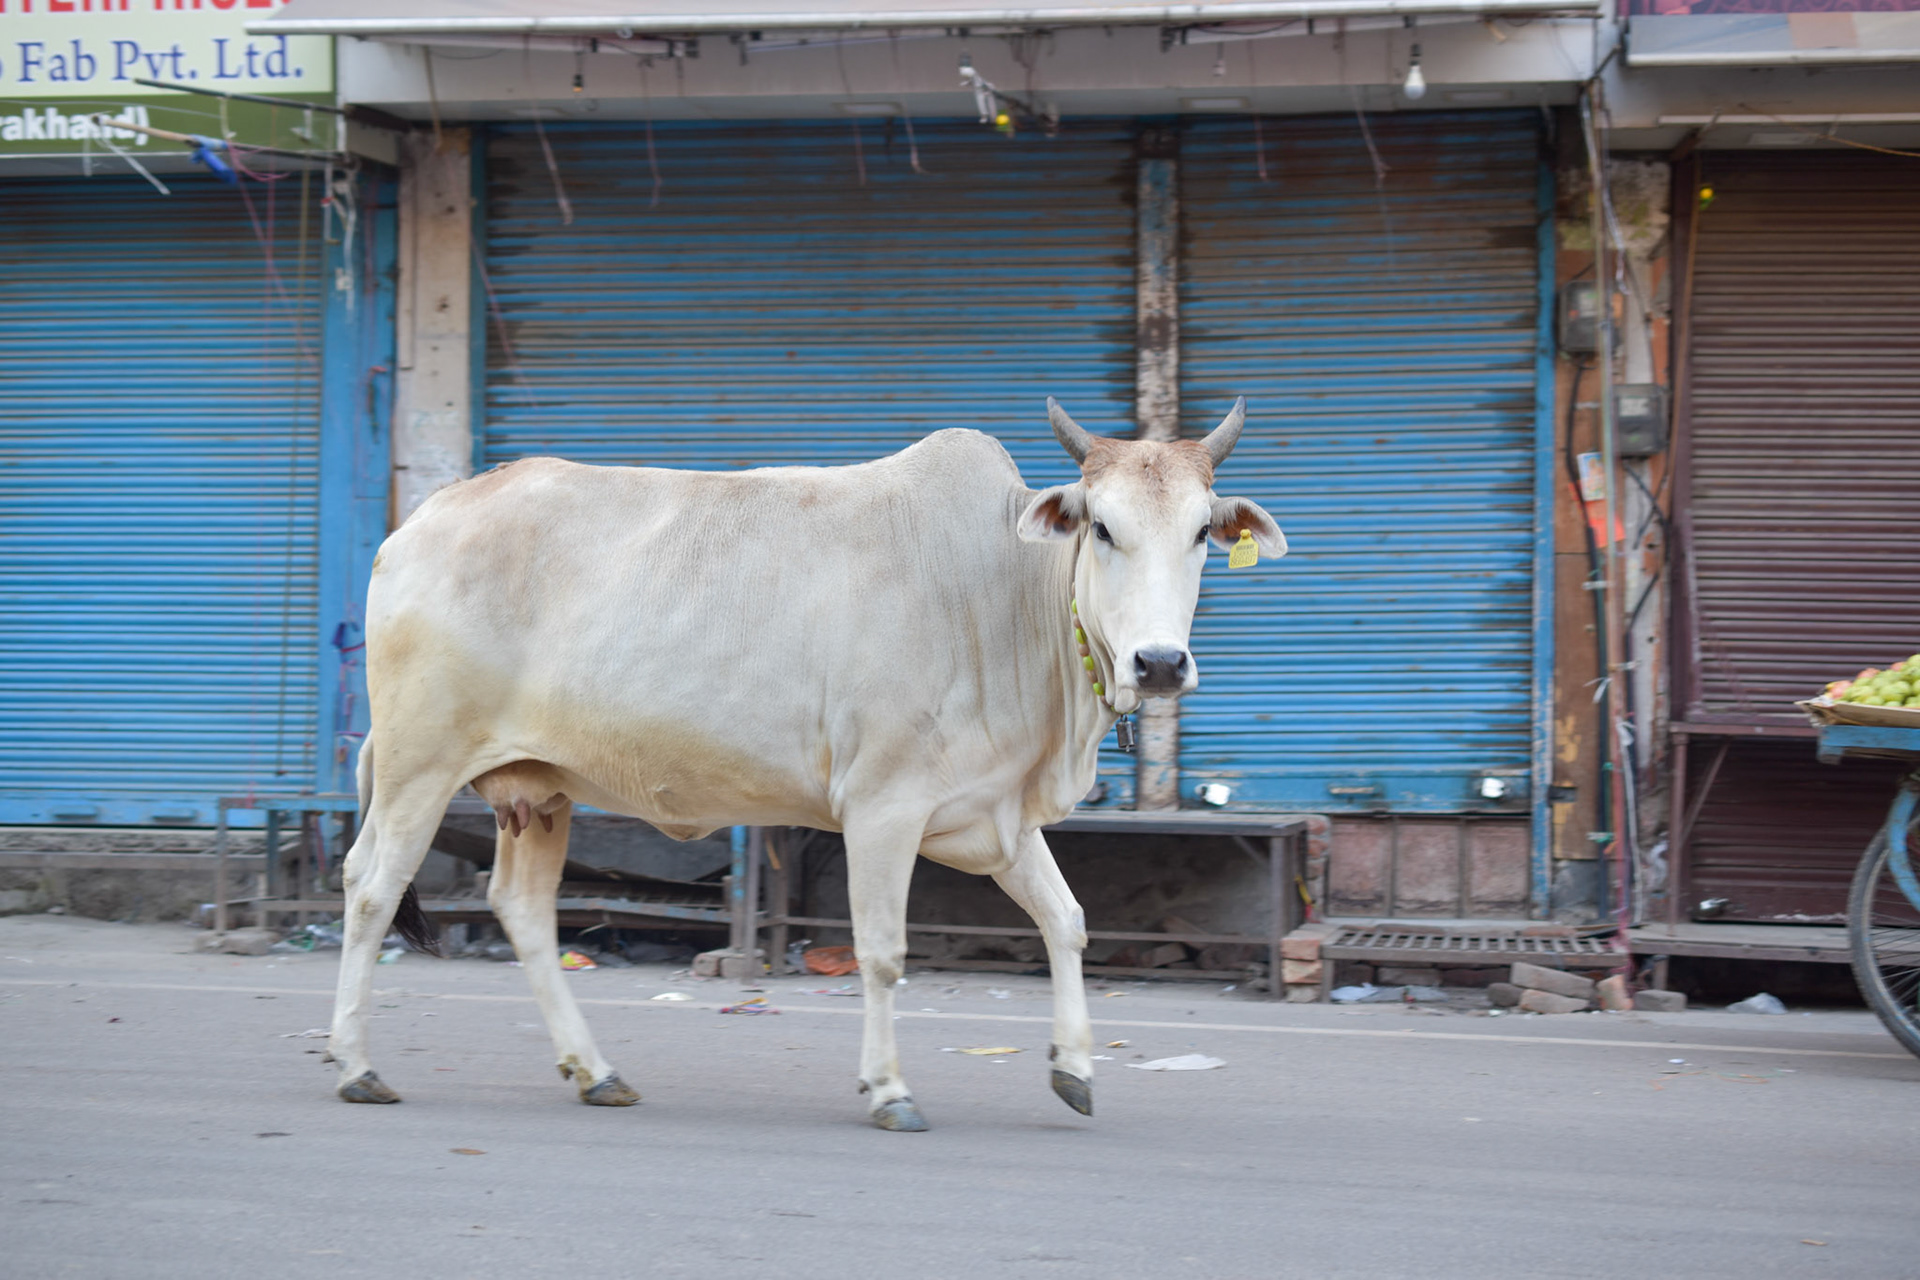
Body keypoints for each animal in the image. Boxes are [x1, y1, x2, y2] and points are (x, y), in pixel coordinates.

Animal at [327, 398, 1284, 1131]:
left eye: (1202, 533)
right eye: (1105, 528)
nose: (1158, 663)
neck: (1003, 597)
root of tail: (418, 524)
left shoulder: (999, 818)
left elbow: (1069, 922)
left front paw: (1075, 1069)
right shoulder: (883, 808)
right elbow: (883, 953)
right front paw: (890, 1089)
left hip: (540, 789)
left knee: (521, 909)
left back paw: (595, 1072)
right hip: (420, 762)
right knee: (371, 887)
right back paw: (354, 1064)